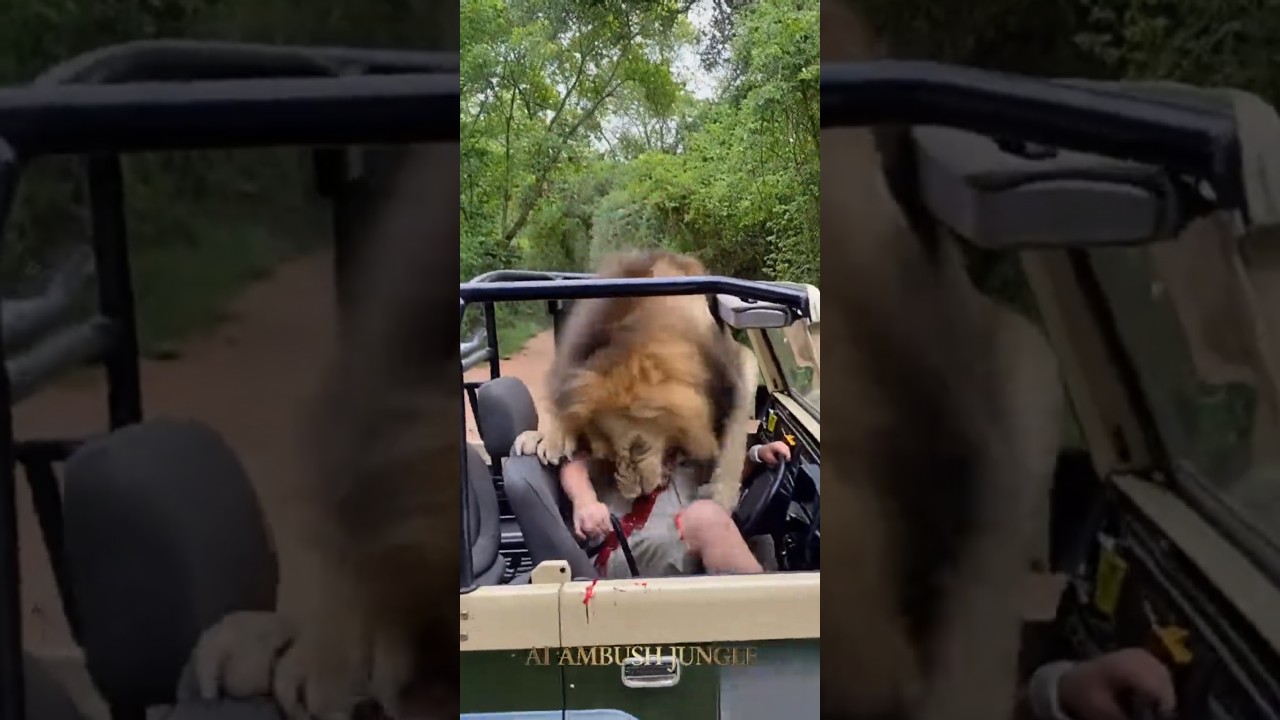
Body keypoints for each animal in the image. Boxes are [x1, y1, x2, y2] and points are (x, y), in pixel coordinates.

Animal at [512, 249, 759, 510]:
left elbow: (735, 438)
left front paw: (723, 499)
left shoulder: (737, 362)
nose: (636, 496)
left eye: (638, 447)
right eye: (609, 457)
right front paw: (550, 438)